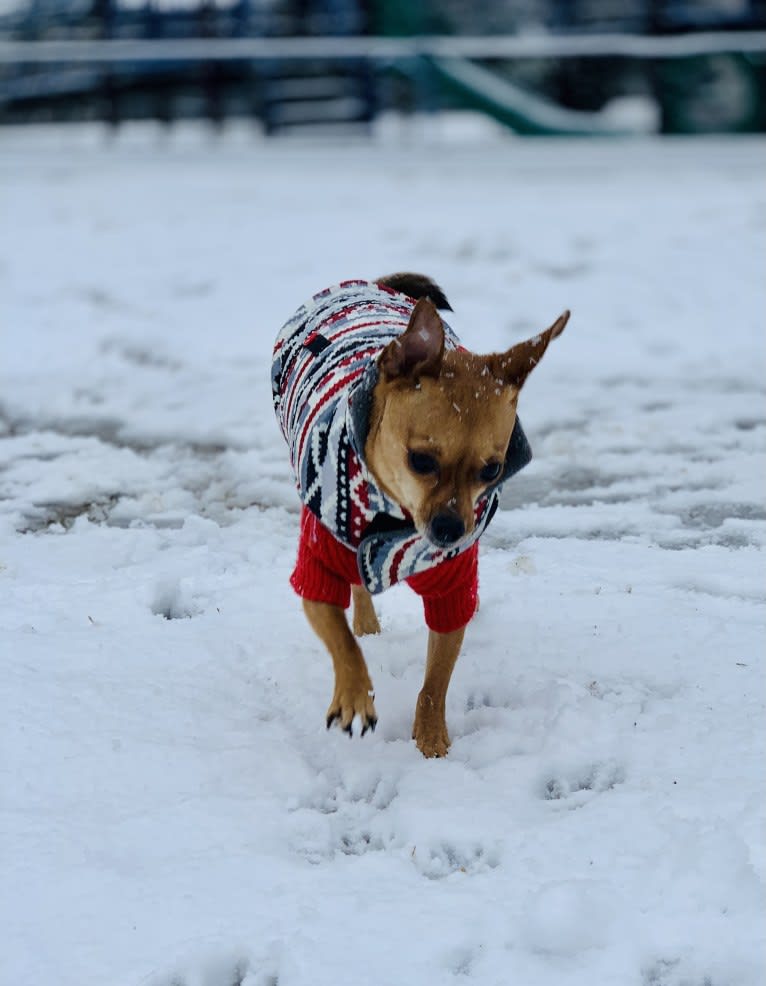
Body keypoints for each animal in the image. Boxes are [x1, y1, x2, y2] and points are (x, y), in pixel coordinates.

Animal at [272, 272, 568, 756]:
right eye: (421, 460)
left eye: (492, 470)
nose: (450, 530)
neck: (396, 517)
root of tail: (370, 283)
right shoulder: (318, 569)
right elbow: (342, 641)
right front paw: (354, 694)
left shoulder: (452, 586)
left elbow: (437, 677)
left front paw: (431, 739)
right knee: (358, 593)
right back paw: (367, 625)